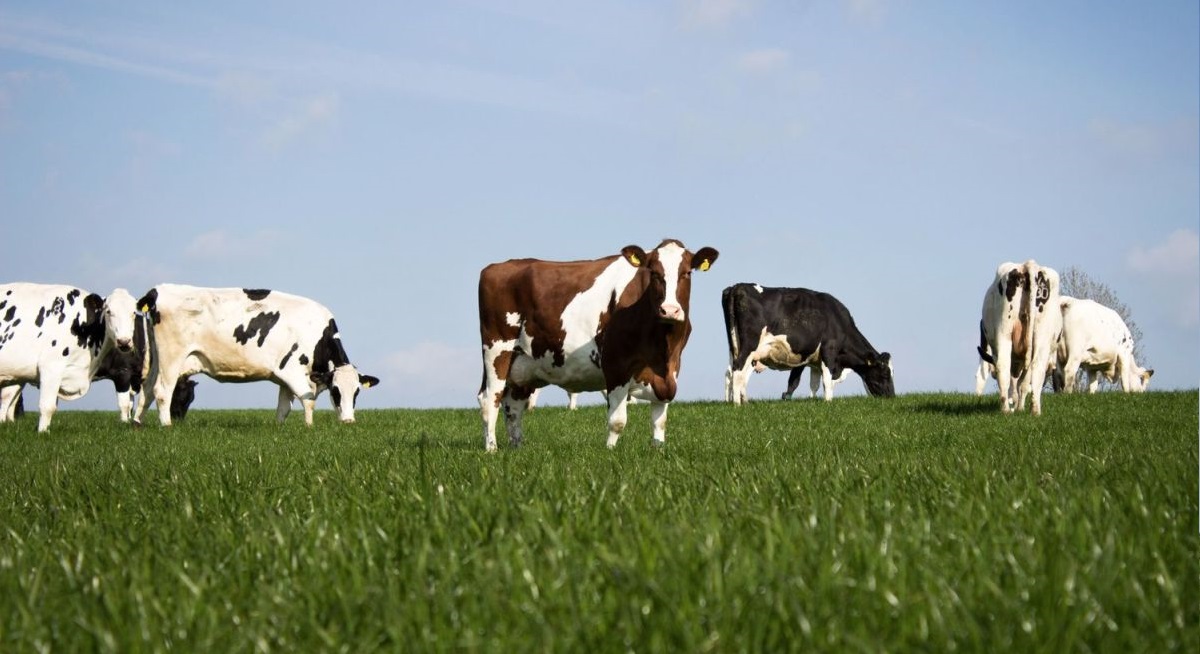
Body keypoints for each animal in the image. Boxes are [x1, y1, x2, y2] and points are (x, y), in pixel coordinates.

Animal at [0, 282, 140, 432]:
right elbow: (47, 406)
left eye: (133, 312)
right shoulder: (50, 367)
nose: (124, 341)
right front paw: (43, 432)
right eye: (108, 311)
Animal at [130, 283, 376, 424]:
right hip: (172, 356)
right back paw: (166, 425)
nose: (348, 421)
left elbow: (283, 409)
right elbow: (308, 401)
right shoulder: (294, 371)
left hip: (156, 358)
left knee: (147, 388)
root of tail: (158, 289)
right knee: (162, 391)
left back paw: (137, 424)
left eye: (356, 392)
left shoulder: (284, 378)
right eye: (336, 391)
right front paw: (309, 428)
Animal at [475, 238, 720, 448]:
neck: (661, 347)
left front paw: (658, 450)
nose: (669, 310)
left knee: (513, 406)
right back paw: (491, 448)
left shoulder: (669, 371)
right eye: (654, 272)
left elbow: (660, 420)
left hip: (522, 364)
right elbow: (617, 421)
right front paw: (610, 451)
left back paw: (516, 447)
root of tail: (496, 267)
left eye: (686, 273)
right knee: (489, 399)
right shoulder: (616, 365)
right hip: (497, 350)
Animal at [715, 284, 897, 403]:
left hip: (735, 346)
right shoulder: (829, 351)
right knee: (738, 370)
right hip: (749, 346)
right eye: (885, 373)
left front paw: (812, 401)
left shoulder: (813, 360)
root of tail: (737, 286)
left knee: (730, 372)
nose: (892, 397)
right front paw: (828, 402)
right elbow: (825, 381)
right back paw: (738, 404)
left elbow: (813, 383)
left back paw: (735, 401)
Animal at [974, 259, 1060, 412]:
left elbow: (1019, 382)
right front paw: (1018, 406)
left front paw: (1017, 405)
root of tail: (1027, 265)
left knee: (1016, 367)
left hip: (1015, 332)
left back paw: (1020, 409)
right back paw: (1021, 410)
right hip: (1026, 333)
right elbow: (1020, 382)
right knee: (1025, 368)